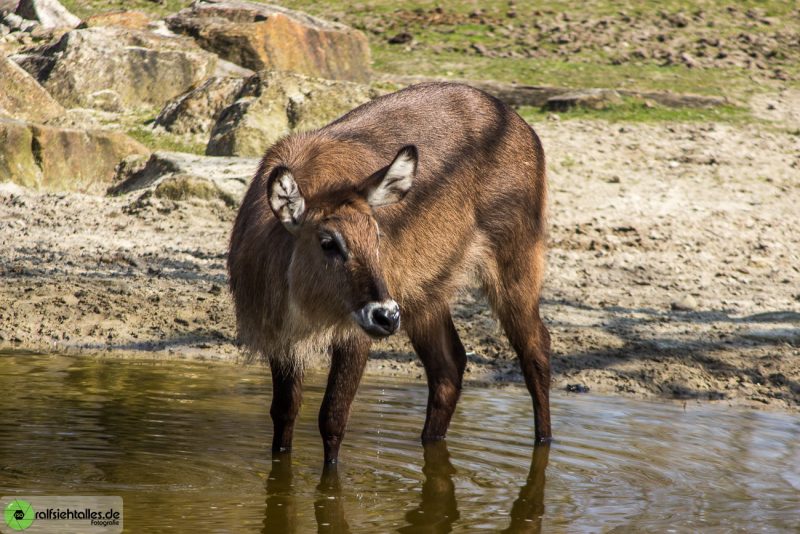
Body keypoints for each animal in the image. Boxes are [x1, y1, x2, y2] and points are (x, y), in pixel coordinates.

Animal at [228, 81, 548, 462]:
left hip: (514, 263)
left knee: (536, 353)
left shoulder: (353, 336)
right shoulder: (281, 338)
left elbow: (332, 418)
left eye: (377, 235)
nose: (385, 315)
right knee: (448, 367)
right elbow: (284, 413)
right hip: (426, 292)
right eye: (328, 241)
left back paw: (544, 443)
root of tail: (518, 123)